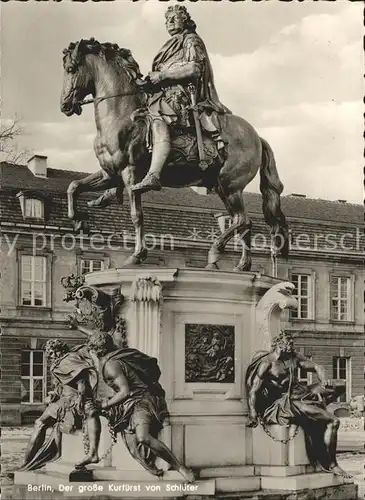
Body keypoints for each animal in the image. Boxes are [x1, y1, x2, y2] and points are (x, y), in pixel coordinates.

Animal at [59, 39, 288, 272]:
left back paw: (215, 253)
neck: (120, 115)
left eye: (71, 69)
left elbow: (137, 215)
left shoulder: (130, 172)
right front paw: (79, 221)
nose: (65, 105)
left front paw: (137, 256)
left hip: (229, 185)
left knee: (241, 220)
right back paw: (242, 265)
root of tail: (257, 137)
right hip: (222, 187)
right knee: (244, 224)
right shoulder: (109, 173)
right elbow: (73, 187)